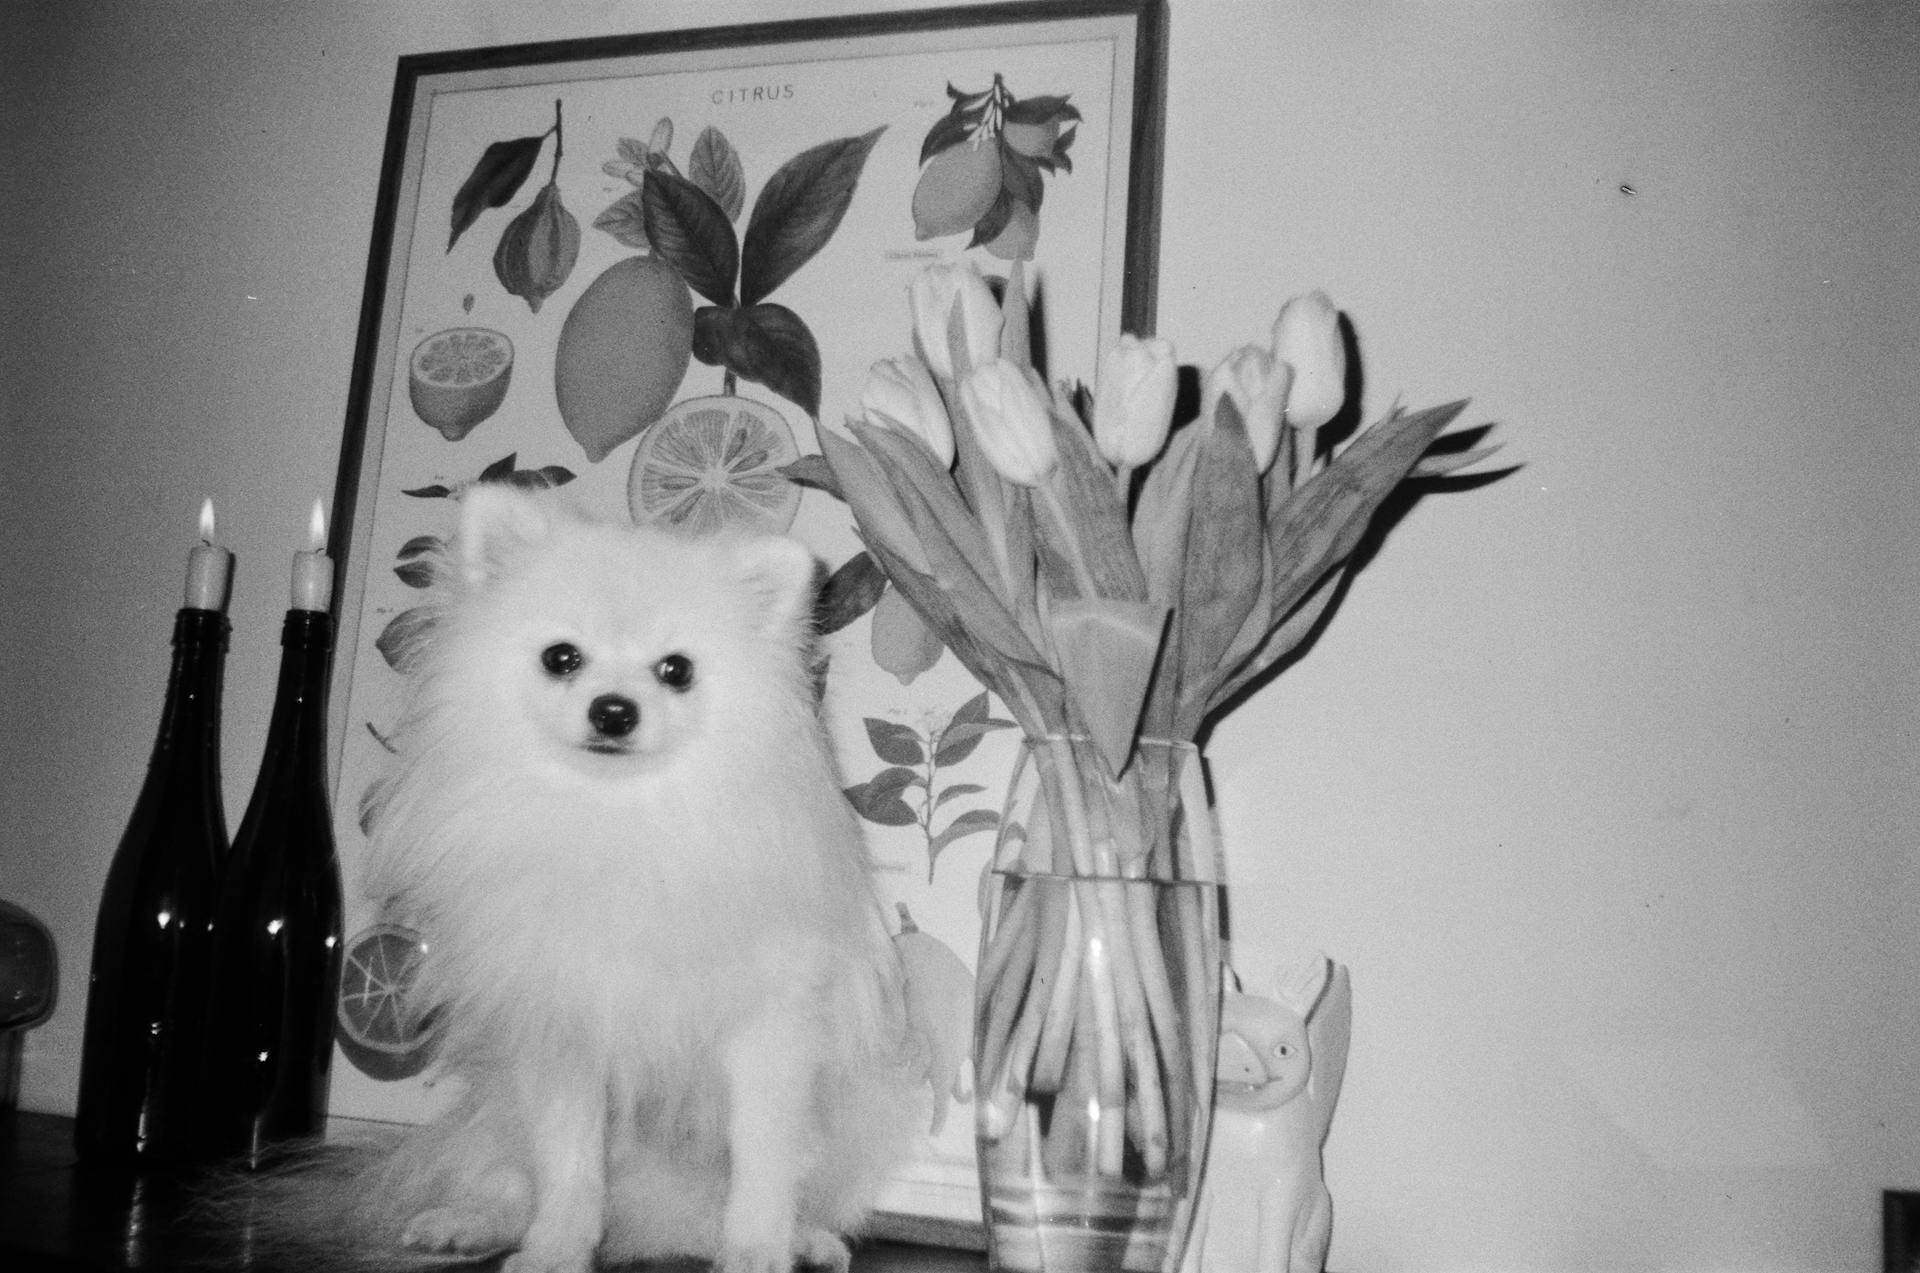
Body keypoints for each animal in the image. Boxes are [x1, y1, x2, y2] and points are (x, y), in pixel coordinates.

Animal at [295, 485, 925, 1273]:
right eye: (561, 658)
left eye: (677, 670)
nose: (614, 709)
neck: (619, 818)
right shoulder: (564, 1029)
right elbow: (568, 1164)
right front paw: (557, 1249)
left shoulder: (768, 1030)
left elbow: (761, 1162)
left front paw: (756, 1249)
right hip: (502, 1103)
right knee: (511, 1177)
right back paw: (470, 1223)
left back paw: (802, 1240)